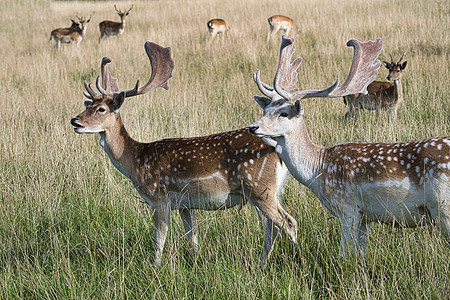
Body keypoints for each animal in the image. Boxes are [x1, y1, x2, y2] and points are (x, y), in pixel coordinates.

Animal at [71, 41, 298, 266]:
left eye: (101, 109)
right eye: (88, 104)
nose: (75, 121)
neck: (137, 160)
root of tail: (277, 149)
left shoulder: (159, 197)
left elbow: (160, 237)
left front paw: (155, 266)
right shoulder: (186, 205)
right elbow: (192, 236)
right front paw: (198, 260)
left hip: (259, 187)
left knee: (287, 222)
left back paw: (296, 257)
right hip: (265, 191)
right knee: (271, 227)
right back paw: (262, 263)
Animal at [250, 36, 450, 256]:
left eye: (284, 113)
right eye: (266, 109)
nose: (253, 127)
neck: (317, 170)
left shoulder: (347, 208)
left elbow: (343, 254)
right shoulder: (364, 217)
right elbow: (361, 254)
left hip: (444, 207)